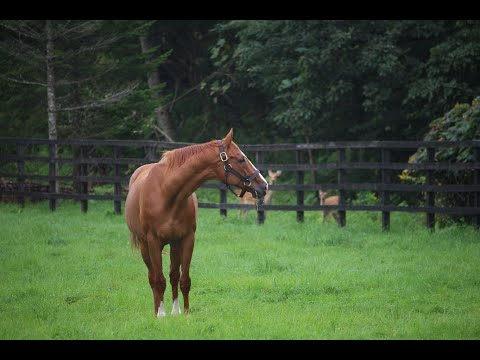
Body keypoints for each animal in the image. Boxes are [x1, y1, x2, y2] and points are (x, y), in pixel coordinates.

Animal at [124, 128, 268, 316]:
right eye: (240, 159)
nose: (264, 186)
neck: (166, 193)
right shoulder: (153, 241)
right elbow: (159, 280)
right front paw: (161, 315)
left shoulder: (186, 239)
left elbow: (184, 279)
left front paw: (184, 314)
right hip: (144, 245)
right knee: (153, 276)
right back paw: (157, 311)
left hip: (173, 244)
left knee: (173, 275)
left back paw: (175, 311)